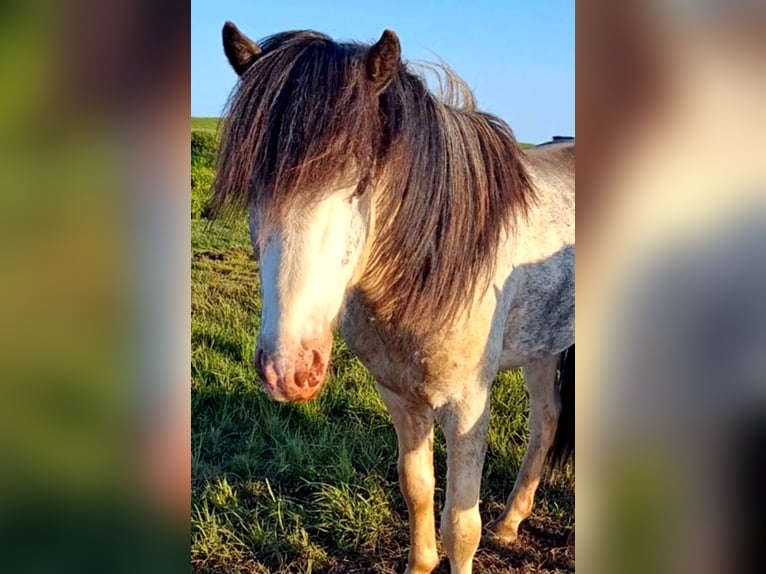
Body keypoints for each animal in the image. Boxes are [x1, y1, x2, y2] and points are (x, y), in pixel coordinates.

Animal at [212, 22, 575, 574]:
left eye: (361, 184)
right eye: (254, 184)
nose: (286, 370)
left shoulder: (468, 405)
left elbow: (460, 527)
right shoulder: (399, 396)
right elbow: (417, 490)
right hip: (542, 344)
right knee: (548, 418)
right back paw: (510, 523)